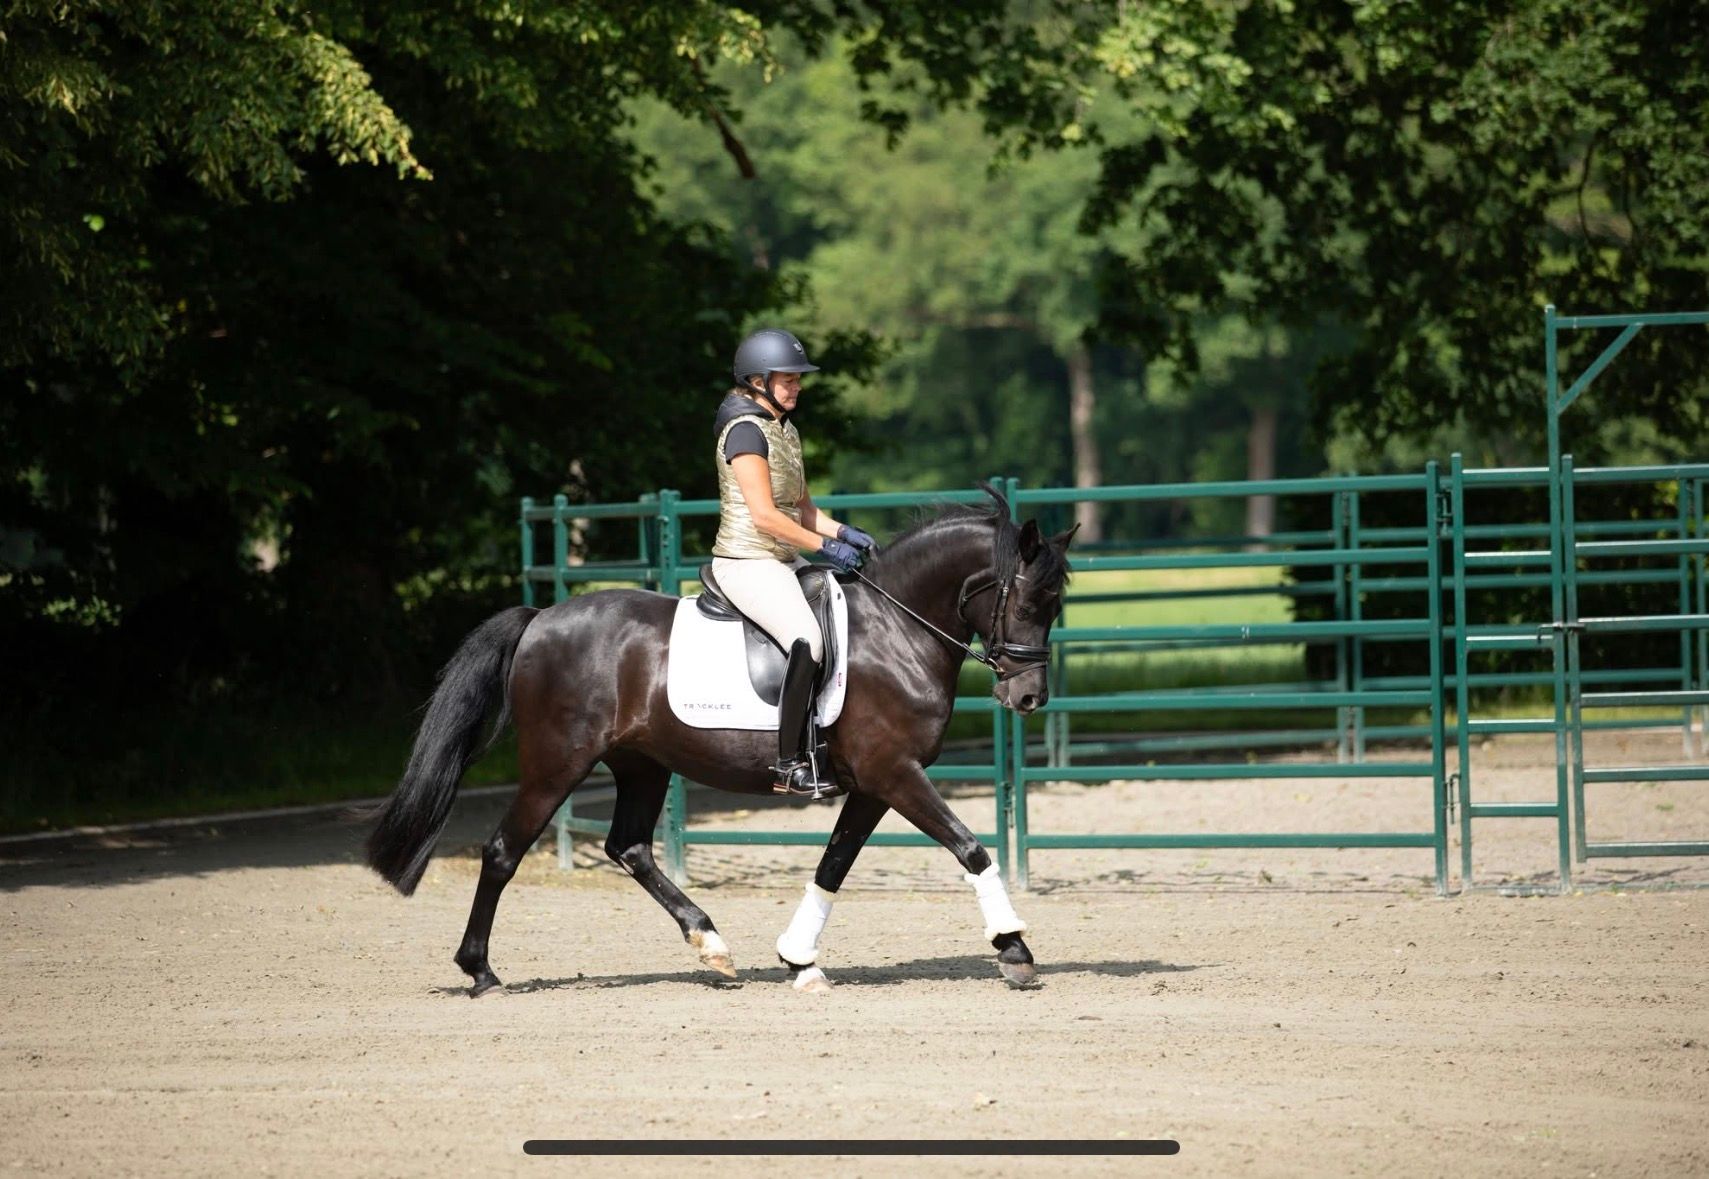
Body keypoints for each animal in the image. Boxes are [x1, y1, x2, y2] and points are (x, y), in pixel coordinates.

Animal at [364, 484, 1073, 994]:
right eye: (1029, 602)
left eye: (1056, 605)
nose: (1029, 698)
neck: (897, 630)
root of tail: (541, 618)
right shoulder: (895, 773)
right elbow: (970, 847)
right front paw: (1014, 949)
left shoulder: (875, 783)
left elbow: (833, 866)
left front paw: (799, 960)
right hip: (556, 763)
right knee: (504, 851)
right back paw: (481, 971)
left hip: (642, 765)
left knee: (629, 848)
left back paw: (711, 944)